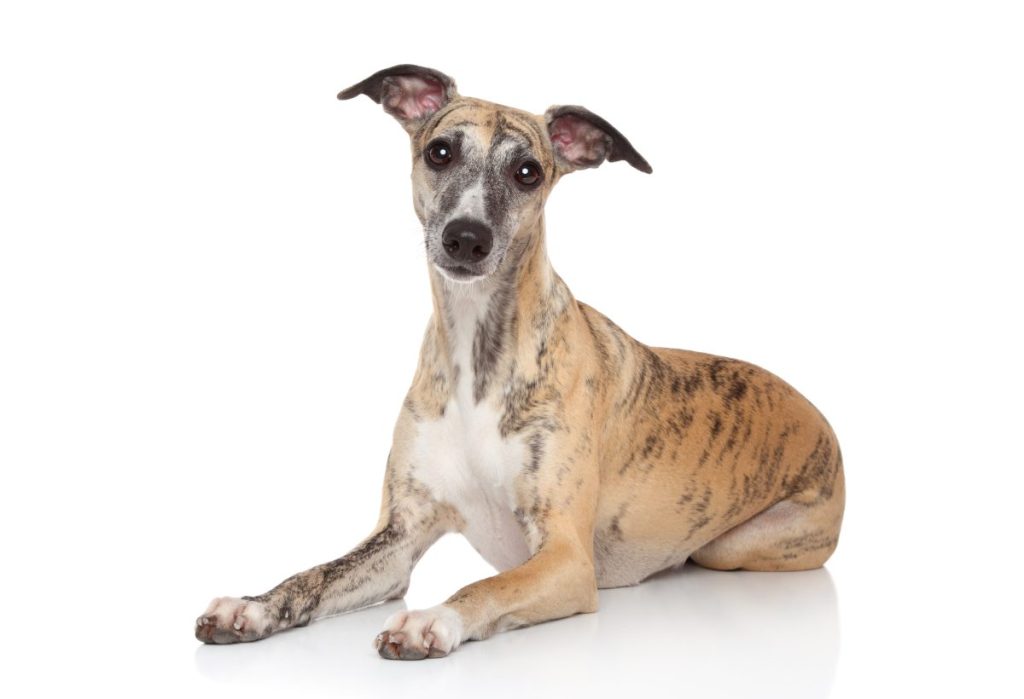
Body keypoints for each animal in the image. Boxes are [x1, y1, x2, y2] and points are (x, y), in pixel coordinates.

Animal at [195, 65, 843, 663]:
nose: (466, 238)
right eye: (440, 151)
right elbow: (317, 574)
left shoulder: (566, 557)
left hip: (732, 545)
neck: (476, 359)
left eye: (528, 171)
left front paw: (433, 620)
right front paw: (252, 606)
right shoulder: (399, 537)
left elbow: (488, 585)